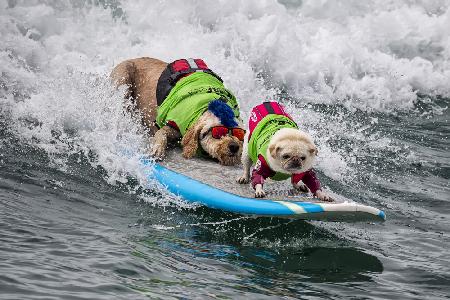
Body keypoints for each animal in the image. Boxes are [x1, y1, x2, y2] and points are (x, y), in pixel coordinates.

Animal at [110, 57, 244, 165]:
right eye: (218, 131)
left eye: (240, 134)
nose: (234, 146)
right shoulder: (174, 123)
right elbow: (161, 133)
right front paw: (157, 149)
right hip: (123, 79)